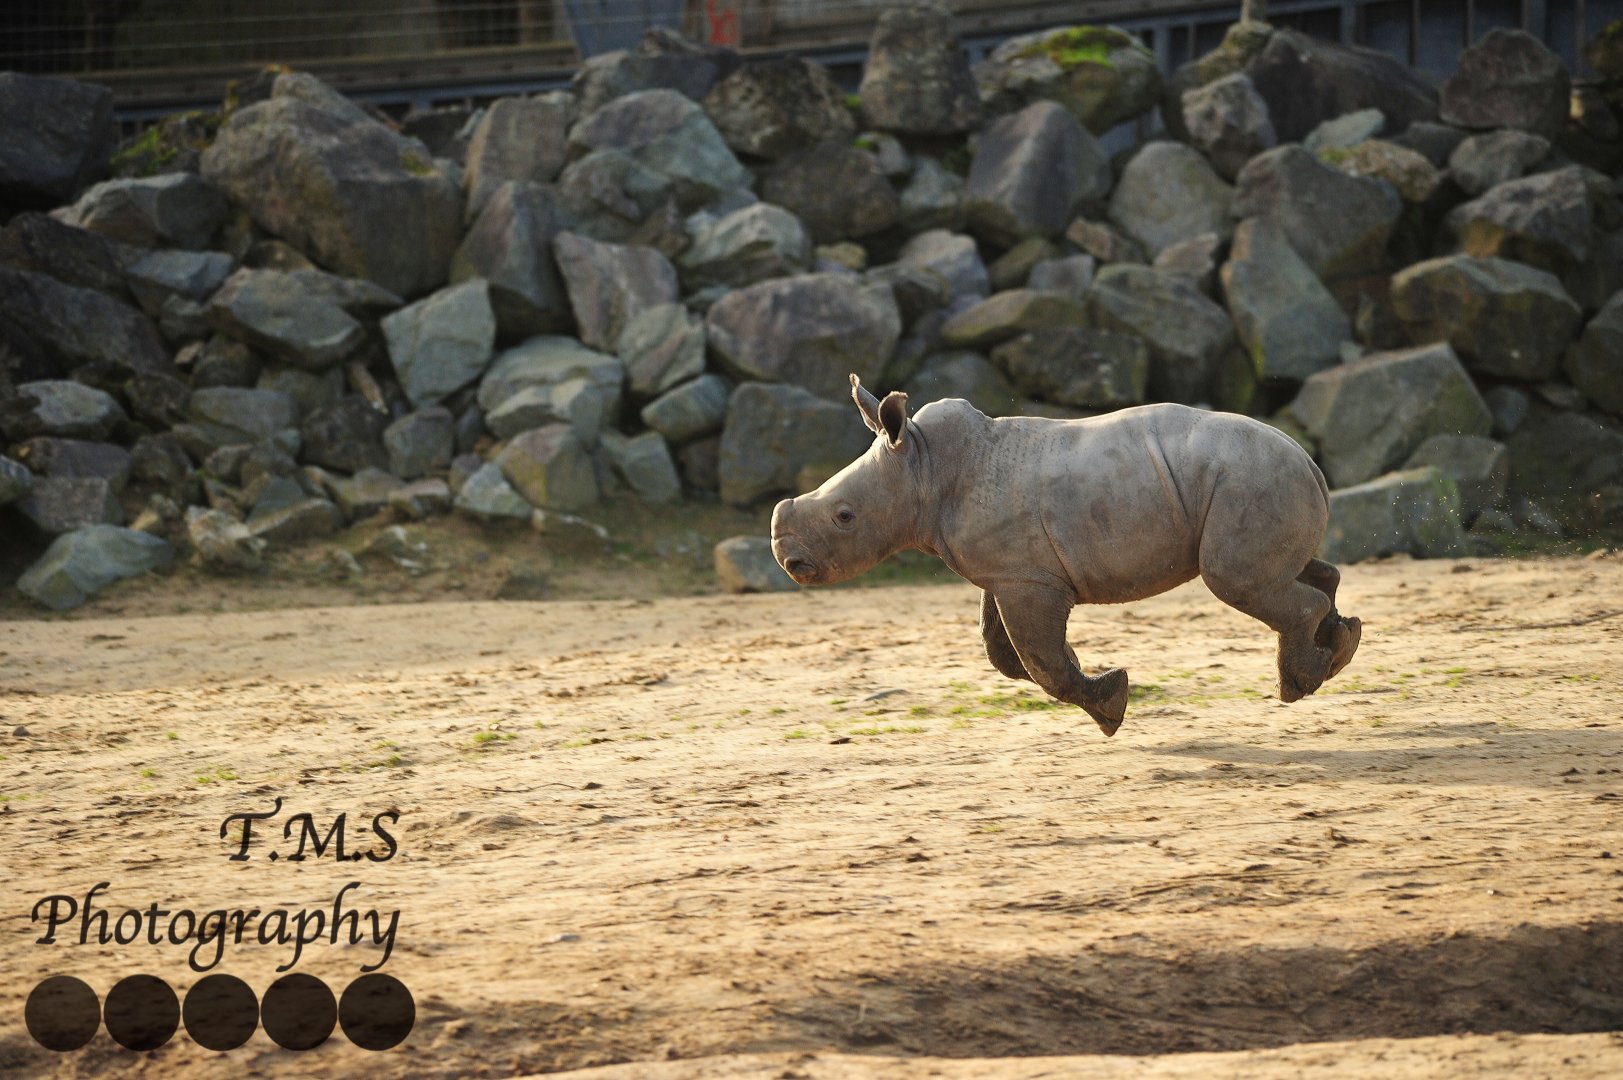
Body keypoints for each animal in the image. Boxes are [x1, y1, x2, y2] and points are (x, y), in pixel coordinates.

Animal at [770, 375, 1361, 736]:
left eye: (844, 516)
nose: (788, 561)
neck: (923, 468)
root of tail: (1309, 461)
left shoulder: (1026, 580)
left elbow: (1043, 661)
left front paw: (1111, 708)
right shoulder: (1010, 573)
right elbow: (1004, 652)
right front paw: (1102, 690)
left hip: (1252, 479)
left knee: (1234, 580)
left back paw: (1298, 684)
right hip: (1258, 480)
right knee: (1288, 572)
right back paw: (1338, 648)